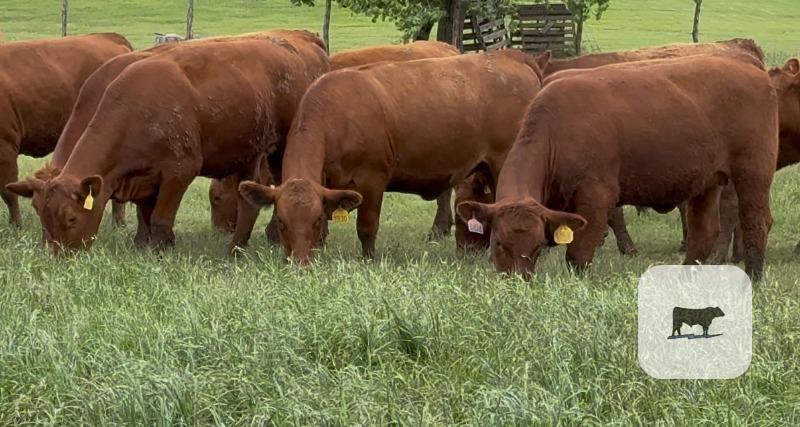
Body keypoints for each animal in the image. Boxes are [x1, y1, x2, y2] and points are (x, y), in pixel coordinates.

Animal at [237, 50, 545, 263]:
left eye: (312, 219)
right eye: (281, 222)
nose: (300, 262)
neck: (337, 115)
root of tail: (508, 56)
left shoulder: (372, 179)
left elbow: (366, 227)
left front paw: (368, 261)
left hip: (504, 164)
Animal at [456, 55, 778, 280]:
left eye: (535, 247)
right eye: (499, 244)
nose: (517, 281)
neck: (557, 129)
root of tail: (752, 69)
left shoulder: (596, 196)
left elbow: (579, 254)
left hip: (753, 172)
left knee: (756, 223)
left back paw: (752, 279)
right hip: (708, 182)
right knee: (704, 232)